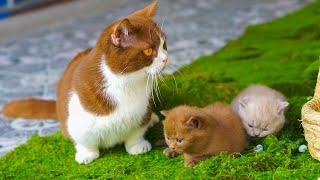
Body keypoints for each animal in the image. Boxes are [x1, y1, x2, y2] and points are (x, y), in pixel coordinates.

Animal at [2, 0, 169, 165]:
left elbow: (136, 132)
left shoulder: (142, 111)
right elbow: (84, 140)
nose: (166, 58)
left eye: (163, 44)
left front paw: (138, 145)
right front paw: (86, 154)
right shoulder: (77, 118)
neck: (127, 84)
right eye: (148, 51)